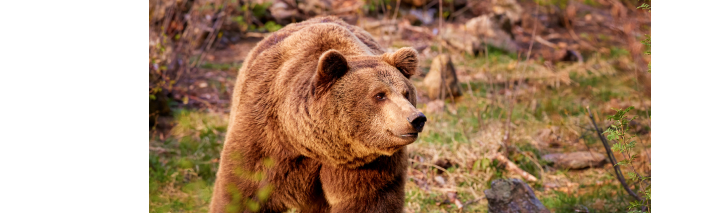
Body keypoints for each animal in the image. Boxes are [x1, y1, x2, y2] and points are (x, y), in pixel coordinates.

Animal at [208, 15, 424, 212]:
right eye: (379, 95)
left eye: (406, 93)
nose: (416, 118)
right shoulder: (264, 139)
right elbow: (243, 192)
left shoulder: (368, 165)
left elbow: (369, 201)